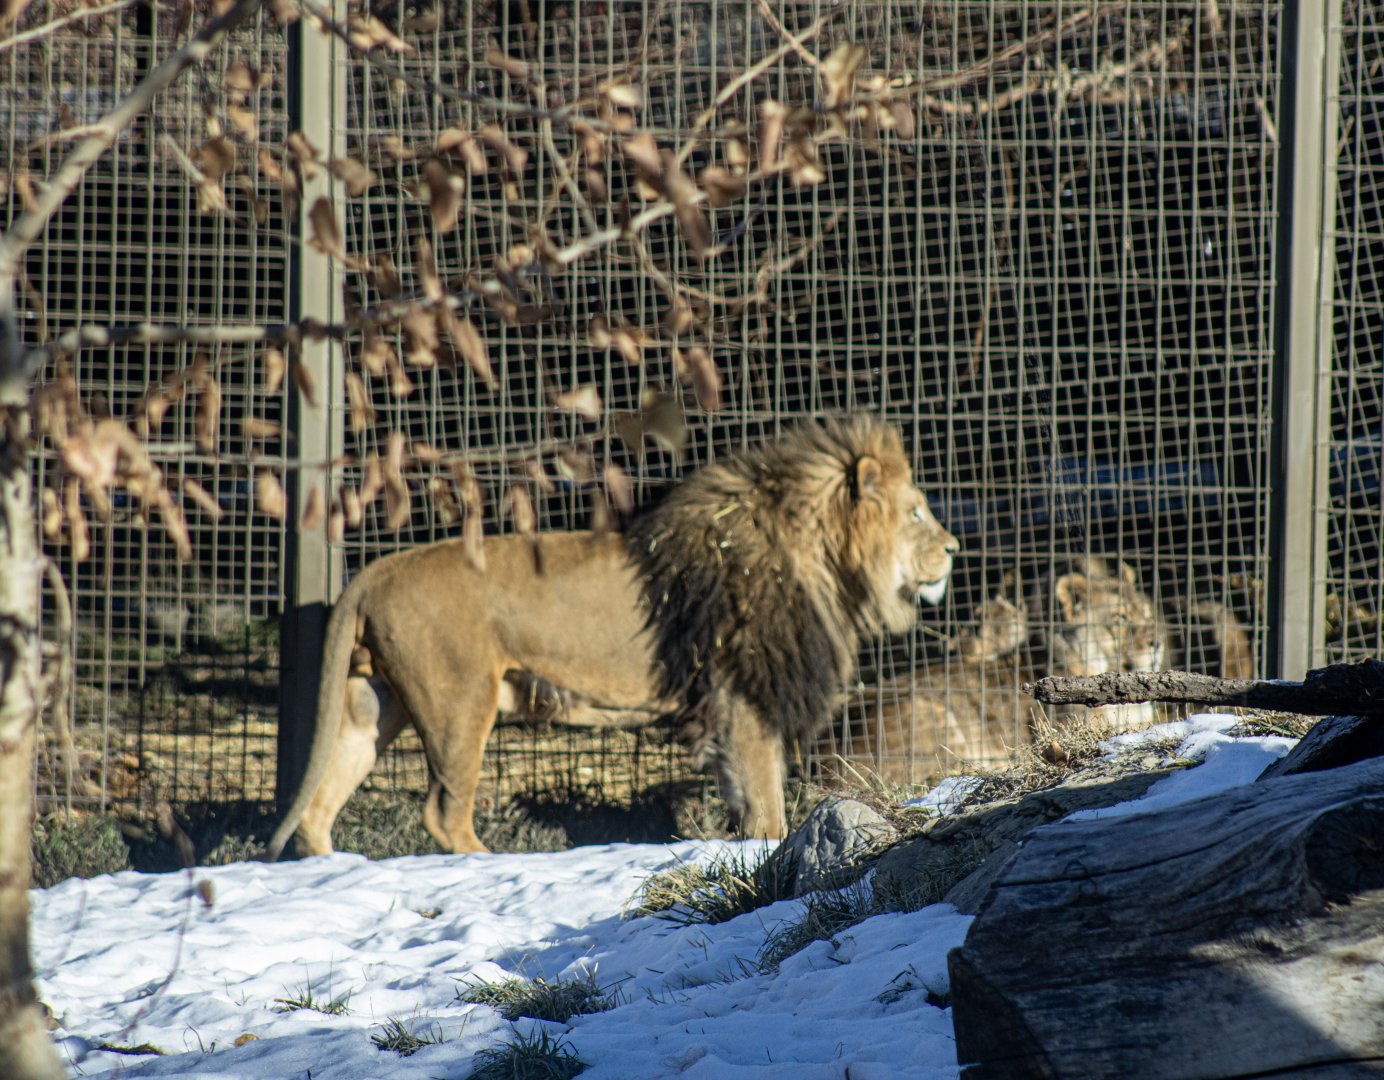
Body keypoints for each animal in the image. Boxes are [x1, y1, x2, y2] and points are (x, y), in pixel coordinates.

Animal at [265, 416, 959, 859]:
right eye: (917, 512)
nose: (954, 549)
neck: (826, 562)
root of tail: (376, 570)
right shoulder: (745, 697)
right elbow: (766, 801)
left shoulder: (726, 707)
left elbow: (741, 797)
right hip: (460, 703)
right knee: (441, 812)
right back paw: (488, 862)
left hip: (374, 704)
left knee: (320, 806)